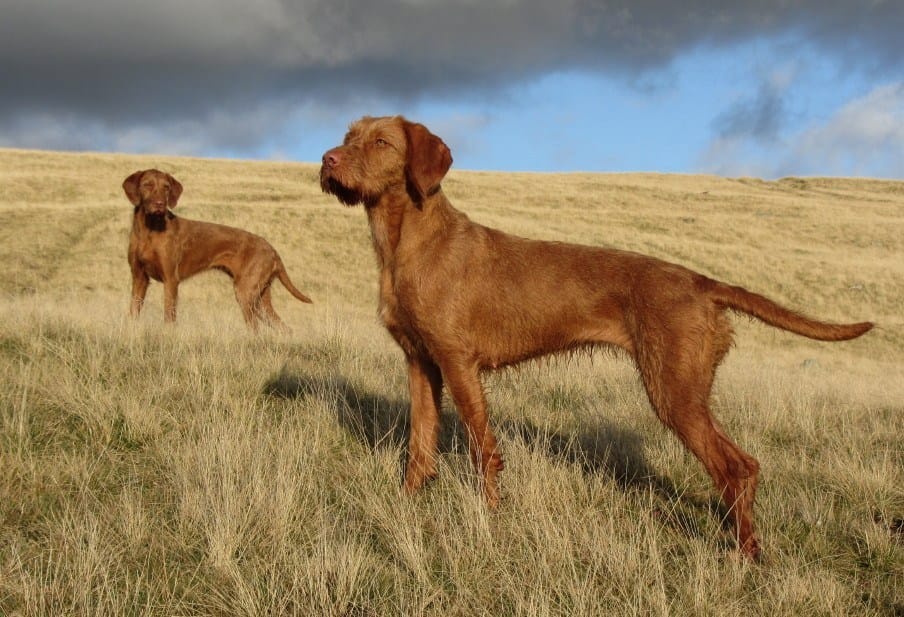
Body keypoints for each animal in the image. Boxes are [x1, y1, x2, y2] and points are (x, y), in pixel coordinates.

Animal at [123, 168, 312, 328]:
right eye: (147, 185)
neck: (149, 230)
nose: (160, 204)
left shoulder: (170, 279)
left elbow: (169, 316)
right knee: (284, 328)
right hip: (260, 299)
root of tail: (273, 250)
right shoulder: (139, 277)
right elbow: (133, 311)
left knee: (255, 328)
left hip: (246, 293)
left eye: (166, 187)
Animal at [320, 114, 876, 560]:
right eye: (348, 136)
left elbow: (482, 449)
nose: (326, 159)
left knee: (738, 467)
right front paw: (408, 503)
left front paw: (491, 518)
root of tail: (702, 282)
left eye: (382, 142)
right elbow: (420, 444)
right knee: (743, 466)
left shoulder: (459, 363)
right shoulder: (420, 362)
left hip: (674, 393)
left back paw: (746, 554)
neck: (408, 242)